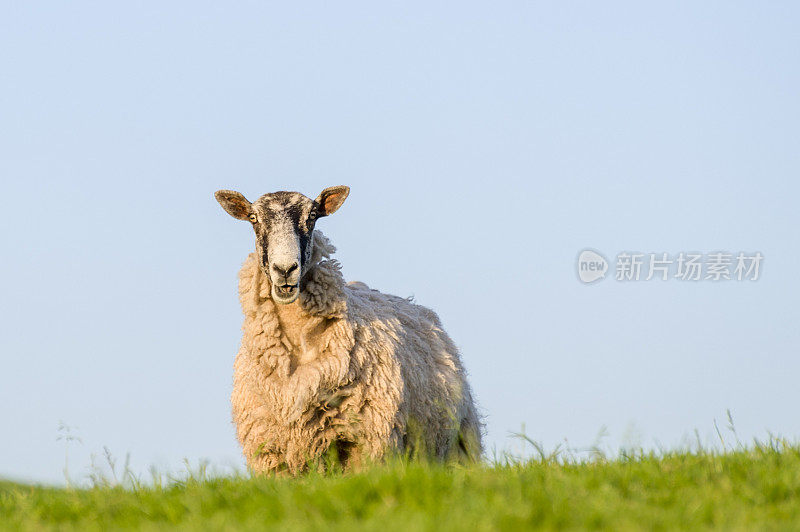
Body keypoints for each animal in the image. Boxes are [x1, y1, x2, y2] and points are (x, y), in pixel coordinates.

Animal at [212, 186, 484, 474]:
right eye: (253, 219)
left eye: (312, 216)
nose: (285, 270)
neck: (299, 347)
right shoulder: (272, 455)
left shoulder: (365, 443)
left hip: (457, 447)